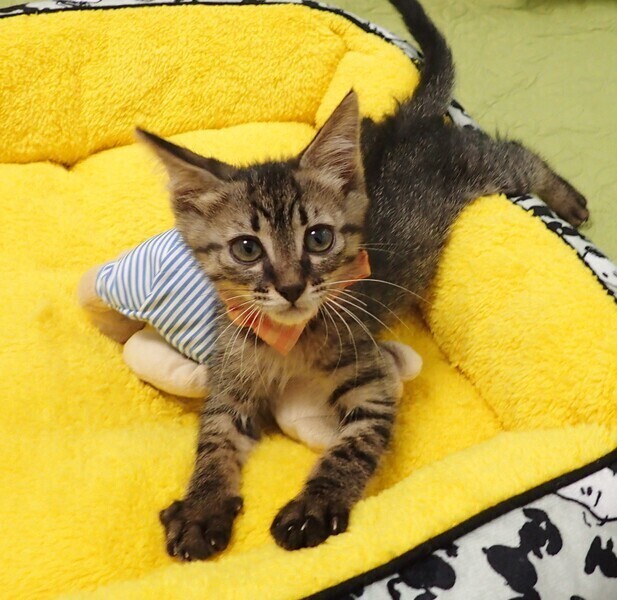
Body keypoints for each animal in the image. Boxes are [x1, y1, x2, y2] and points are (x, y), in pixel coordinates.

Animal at [138, 0, 589, 560]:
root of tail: (409, 121)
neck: (292, 340)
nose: (291, 288)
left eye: (318, 238)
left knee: (515, 152)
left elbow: (349, 449)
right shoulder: (231, 379)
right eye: (247, 248)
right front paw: (202, 510)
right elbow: (214, 440)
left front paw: (312, 509)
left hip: (484, 169)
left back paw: (569, 201)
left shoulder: (371, 382)